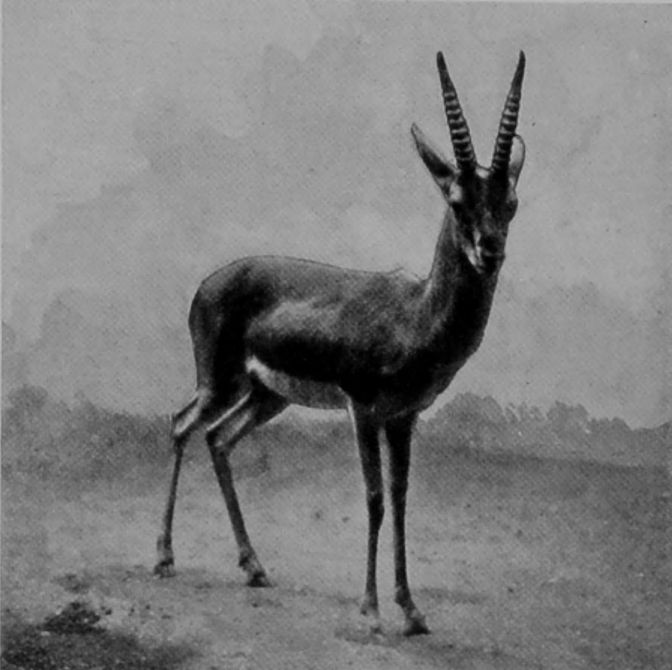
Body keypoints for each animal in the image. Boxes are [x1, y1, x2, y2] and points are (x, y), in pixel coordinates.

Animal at [154, 50, 526, 636]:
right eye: (456, 199)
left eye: (509, 201)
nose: (489, 251)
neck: (414, 316)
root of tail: (209, 282)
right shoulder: (364, 409)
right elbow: (373, 498)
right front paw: (371, 611)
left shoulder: (404, 417)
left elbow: (400, 497)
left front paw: (412, 610)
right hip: (219, 381)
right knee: (181, 423)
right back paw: (165, 558)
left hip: (266, 396)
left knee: (217, 438)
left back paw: (255, 567)